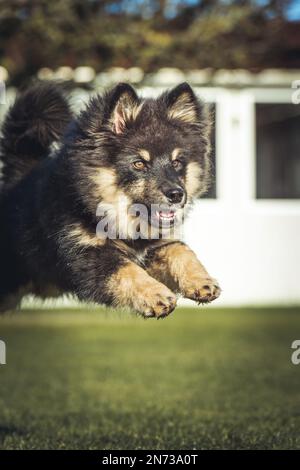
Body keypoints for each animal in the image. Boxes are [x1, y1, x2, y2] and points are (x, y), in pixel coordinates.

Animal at [0, 81, 220, 318]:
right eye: (139, 163)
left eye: (177, 162)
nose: (177, 194)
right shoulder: (86, 255)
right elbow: (127, 270)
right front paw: (156, 295)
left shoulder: (153, 246)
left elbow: (180, 250)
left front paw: (201, 281)